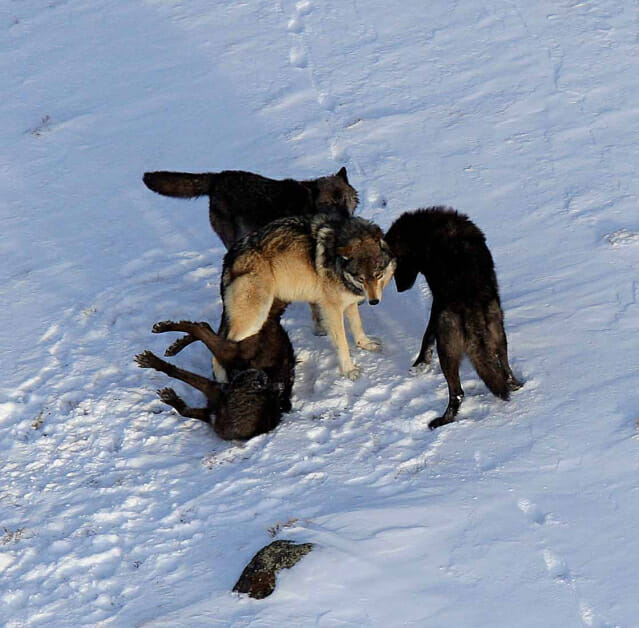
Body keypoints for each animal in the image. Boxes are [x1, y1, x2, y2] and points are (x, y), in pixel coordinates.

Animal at [136, 300, 296, 442]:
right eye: (263, 381)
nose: (261, 372)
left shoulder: (212, 399)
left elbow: (184, 407)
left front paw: (155, 367)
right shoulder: (215, 392)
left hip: (227, 353)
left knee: (202, 329)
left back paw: (171, 338)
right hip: (230, 353)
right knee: (202, 328)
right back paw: (171, 335)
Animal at [142, 167, 358, 334]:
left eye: (345, 199)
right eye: (328, 203)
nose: (346, 220)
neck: (306, 205)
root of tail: (219, 176)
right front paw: (320, 328)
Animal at [219, 213, 396, 380]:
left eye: (378, 275)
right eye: (361, 279)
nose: (374, 301)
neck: (337, 264)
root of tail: (229, 257)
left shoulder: (350, 302)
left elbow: (358, 326)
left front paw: (366, 344)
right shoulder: (332, 309)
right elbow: (342, 343)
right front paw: (349, 370)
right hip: (254, 318)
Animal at [384, 209, 520, 430]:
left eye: (396, 265)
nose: (399, 289)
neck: (427, 231)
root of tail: (472, 306)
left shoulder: (437, 304)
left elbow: (426, 335)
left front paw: (420, 363)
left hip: (447, 350)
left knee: (457, 393)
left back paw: (441, 421)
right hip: (499, 334)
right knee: (505, 371)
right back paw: (516, 385)